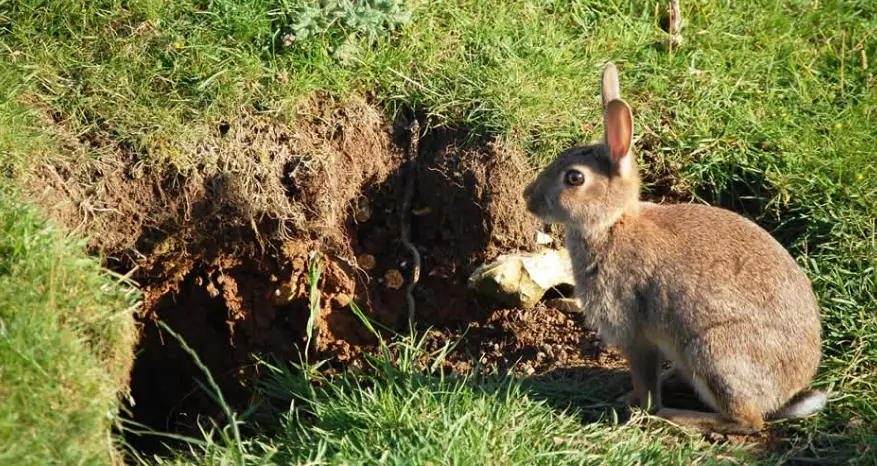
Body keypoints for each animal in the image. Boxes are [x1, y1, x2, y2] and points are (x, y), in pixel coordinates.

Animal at [522, 62, 827, 434]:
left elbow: (644, 382)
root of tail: (788, 394)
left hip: (713, 352)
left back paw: (675, 416)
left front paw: (638, 407)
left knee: (747, 421)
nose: (528, 197)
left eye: (574, 178)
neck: (612, 224)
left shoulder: (634, 333)